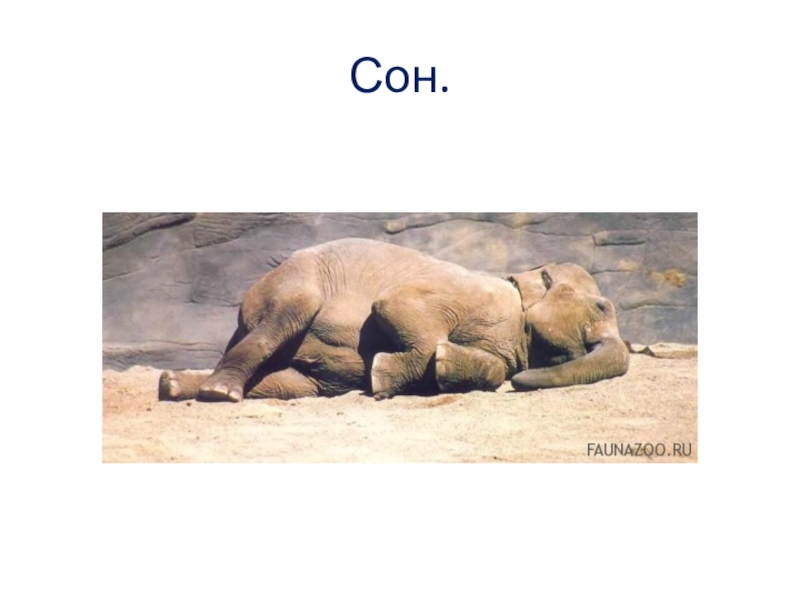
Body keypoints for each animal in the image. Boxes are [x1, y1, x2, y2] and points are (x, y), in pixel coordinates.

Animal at [158, 238, 629, 402]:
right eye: (602, 307)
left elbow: (493, 367)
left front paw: (442, 367)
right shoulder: (473, 294)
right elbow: (395, 302)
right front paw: (382, 377)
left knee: (293, 384)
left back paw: (175, 386)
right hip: (292, 286)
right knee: (287, 317)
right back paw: (218, 393)